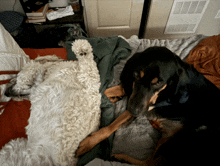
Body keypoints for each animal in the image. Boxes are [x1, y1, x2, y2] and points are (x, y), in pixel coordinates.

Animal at [76, 46, 220, 166]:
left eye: (158, 83)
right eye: (136, 75)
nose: (133, 110)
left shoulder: (144, 105)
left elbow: (113, 124)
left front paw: (89, 143)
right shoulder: (134, 97)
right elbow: (107, 93)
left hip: (188, 134)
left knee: (150, 163)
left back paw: (121, 157)